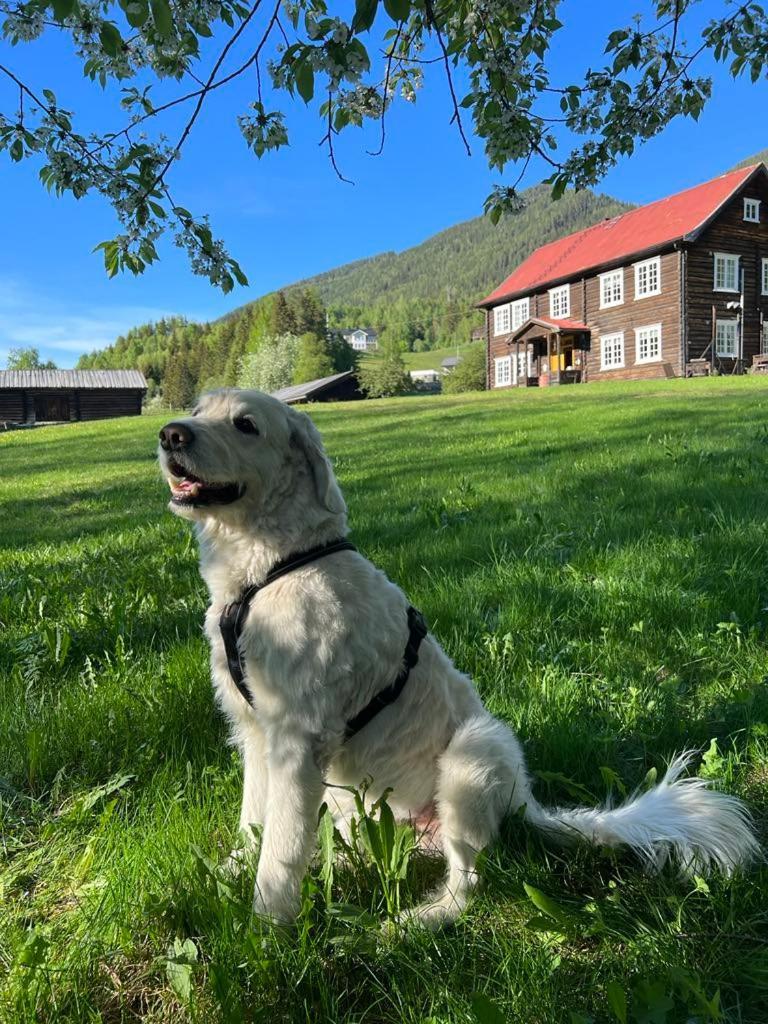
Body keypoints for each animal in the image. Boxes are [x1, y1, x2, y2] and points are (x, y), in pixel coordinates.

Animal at [159, 387, 761, 925]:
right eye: (197, 410)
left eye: (245, 425)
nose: (170, 435)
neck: (273, 565)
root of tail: (526, 802)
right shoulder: (255, 731)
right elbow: (254, 822)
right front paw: (227, 876)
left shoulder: (297, 740)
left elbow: (280, 851)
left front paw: (267, 933)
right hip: (354, 806)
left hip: (474, 753)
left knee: (467, 887)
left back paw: (407, 926)